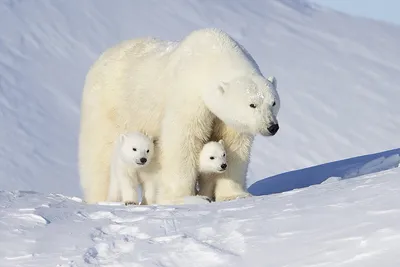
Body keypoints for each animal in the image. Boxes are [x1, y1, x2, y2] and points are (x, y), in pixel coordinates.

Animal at [77, 28, 278, 205]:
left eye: (274, 103)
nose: (272, 126)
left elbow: (235, 146)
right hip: (110, 108)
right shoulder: (187, 96)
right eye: (252, 104)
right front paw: (186, 198)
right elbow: (182, 141)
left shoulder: (229, 120)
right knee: (99, 155)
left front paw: (234, 195)